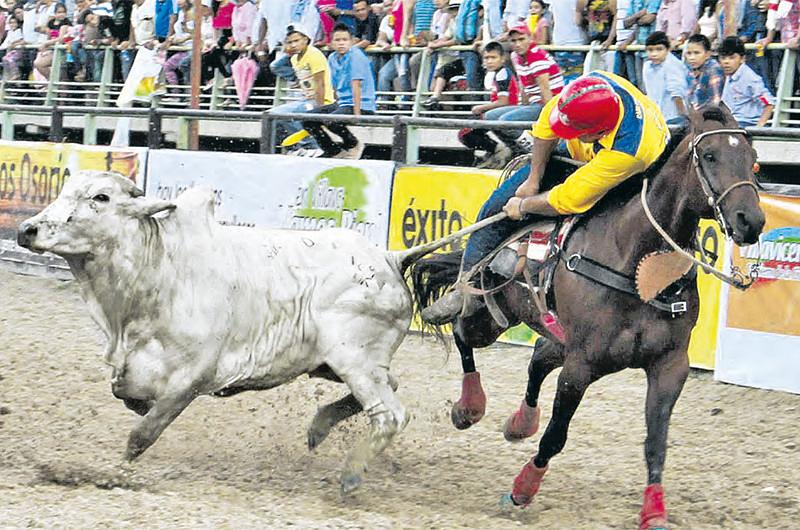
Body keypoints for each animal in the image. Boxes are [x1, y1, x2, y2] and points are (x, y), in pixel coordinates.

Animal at [15, 169, 460, 490]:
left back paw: (351, 474)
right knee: (391, 388)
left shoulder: (193, 377)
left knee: (390, 414)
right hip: (338, 363)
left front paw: (114, 474)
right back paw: (318, 429)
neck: (158, 270)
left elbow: (142, 432)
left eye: (101, 198)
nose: (27, 229)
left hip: (355, 360)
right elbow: (129, 397)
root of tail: (389, 256)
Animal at [410, 104, 764, 528]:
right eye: (709, 156)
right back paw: (469, 407)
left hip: (554, 334)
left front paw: (654, 510)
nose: (750, 221)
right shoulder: (582, 365)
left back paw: (519, 424)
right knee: (464, 334)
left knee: (537, 358)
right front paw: (521, 491)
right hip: (493, 317)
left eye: (753, 160)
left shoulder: (669, 366)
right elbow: (556, 435)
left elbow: (656, 443)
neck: (636, 263)